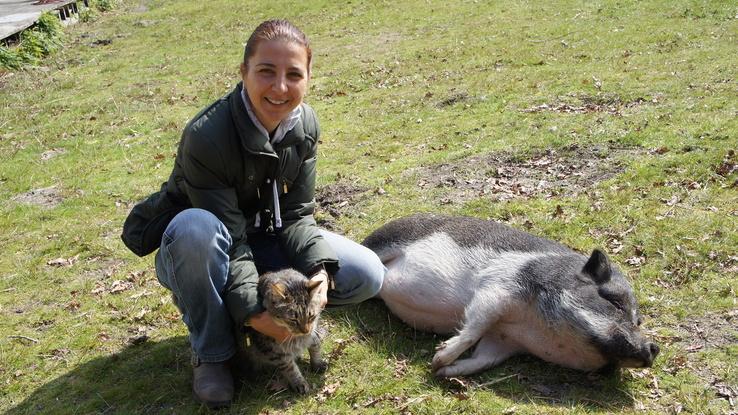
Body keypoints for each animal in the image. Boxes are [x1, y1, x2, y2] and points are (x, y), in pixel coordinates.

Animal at [362, 214, 656, 376]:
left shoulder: (504, 342)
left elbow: (482, 360)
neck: (534, 328)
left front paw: (443, 372)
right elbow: (475, 326)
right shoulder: (497, 288)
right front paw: (439, 358)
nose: (654, 347)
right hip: (383, 241)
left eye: (638, 320)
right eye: (614, 302)